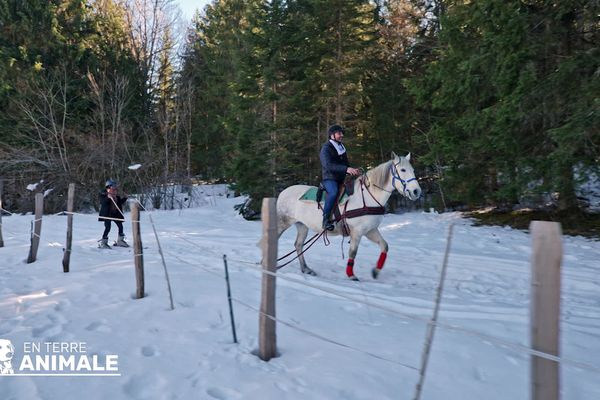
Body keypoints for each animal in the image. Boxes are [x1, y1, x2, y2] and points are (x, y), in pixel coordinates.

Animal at [278, 152, 422, 280]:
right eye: (403, 170)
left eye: (413, 170)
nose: (416, 191)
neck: (368, 198)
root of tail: (283, 192)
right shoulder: (357, 232)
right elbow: (353, 253)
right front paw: (351, 275)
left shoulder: (370, 230)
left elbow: (384, 246)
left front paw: (375, 271)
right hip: (283, 223)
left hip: (302, 225)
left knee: (298, 245)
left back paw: (306, 269)